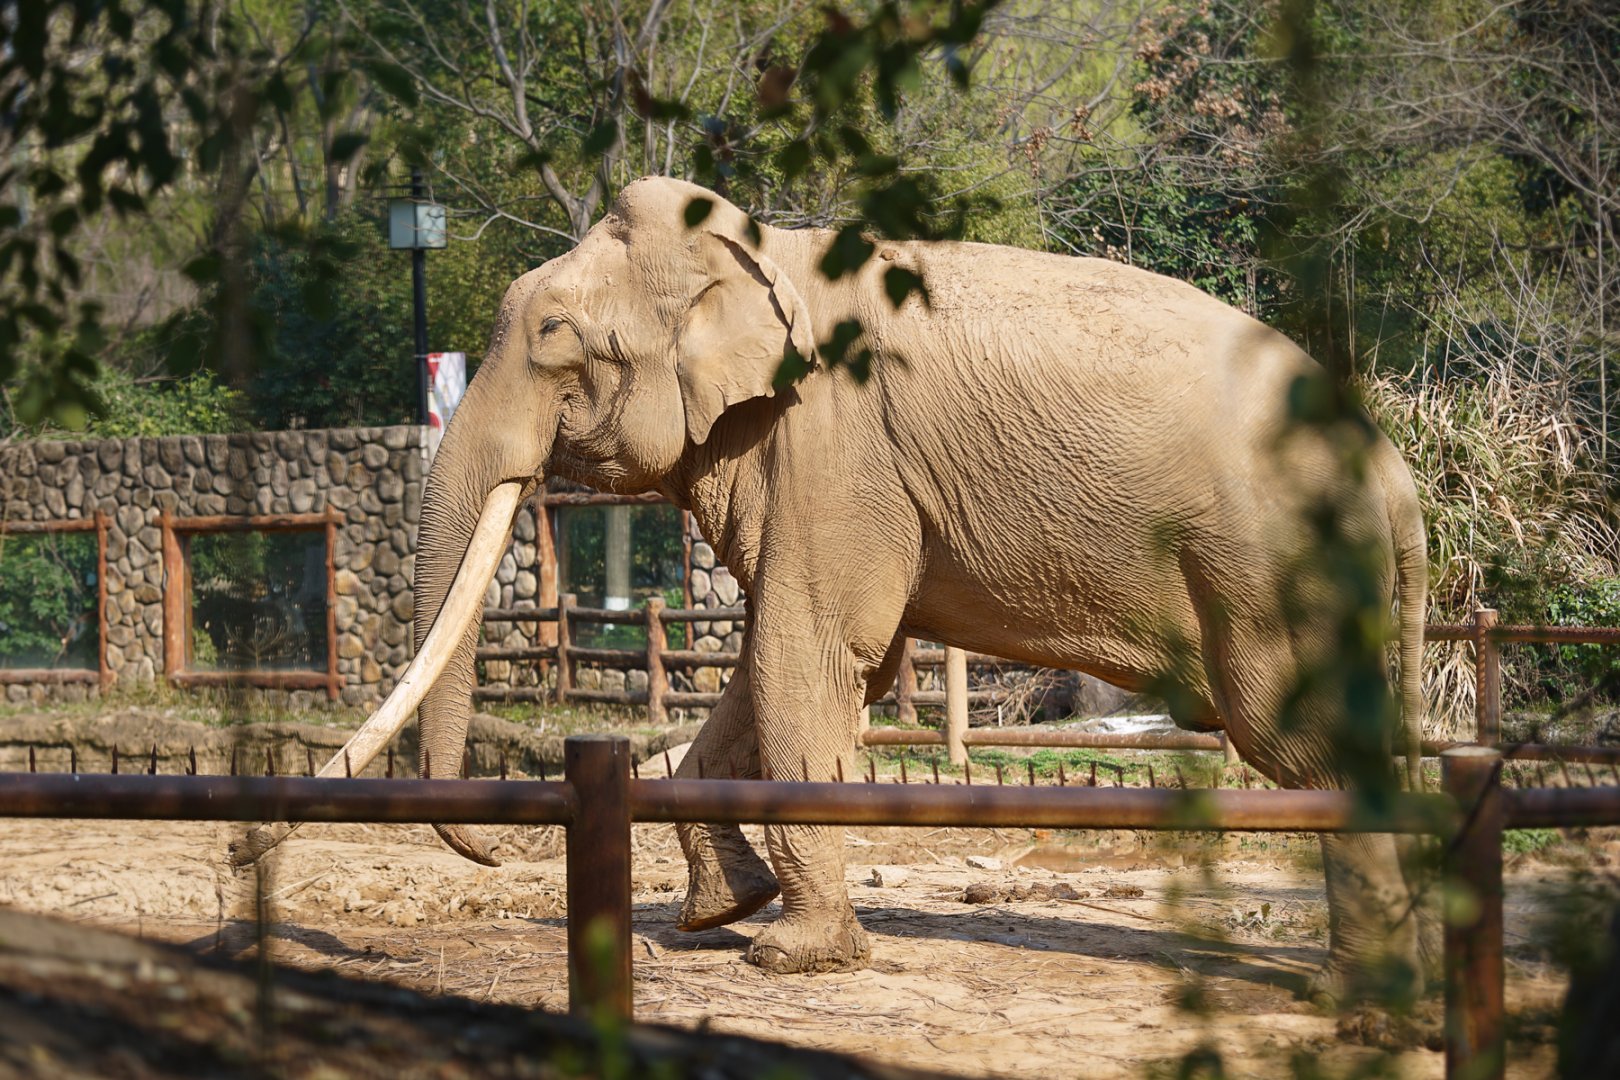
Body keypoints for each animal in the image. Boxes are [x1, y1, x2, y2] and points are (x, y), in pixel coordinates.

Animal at [250, 176, 1430, 1001]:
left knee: (1290, 735)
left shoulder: (834, 446)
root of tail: (1390, 463)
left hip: (1267, 560)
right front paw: (716, 914)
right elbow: (769, 669)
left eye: (552, 340)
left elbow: (807, 653)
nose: (487, 848)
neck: (754, 253)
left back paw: (1363, 996)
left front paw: (790, 958)